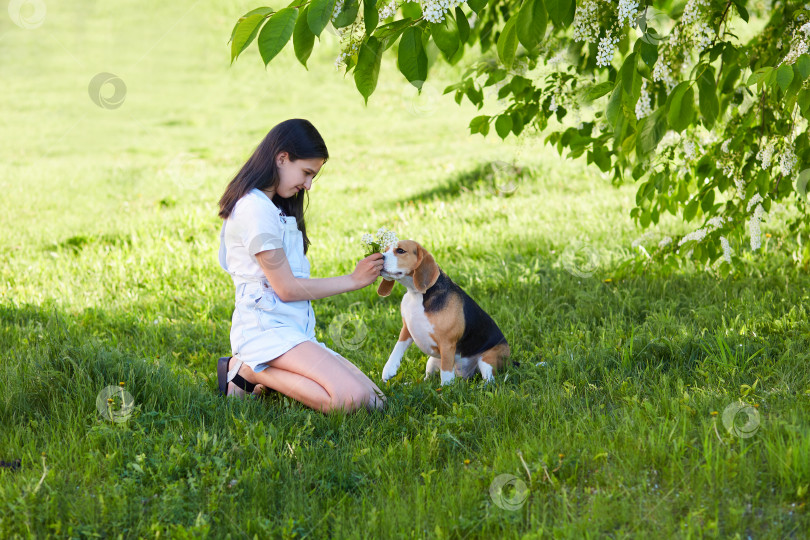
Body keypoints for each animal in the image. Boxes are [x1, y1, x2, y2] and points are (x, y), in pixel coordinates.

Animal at [376, 239, 508, 384]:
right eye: (385, 250)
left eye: (400, 250)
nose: (379, 257)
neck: (416, 294)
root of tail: (465, 376)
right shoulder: (407, 329)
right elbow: (398, 347)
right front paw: (389, 369)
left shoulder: (447, 344)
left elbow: (446, 372)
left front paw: (446, 388)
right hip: (431, 361)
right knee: (427, 379)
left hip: (487, 360)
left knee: (490, 381)